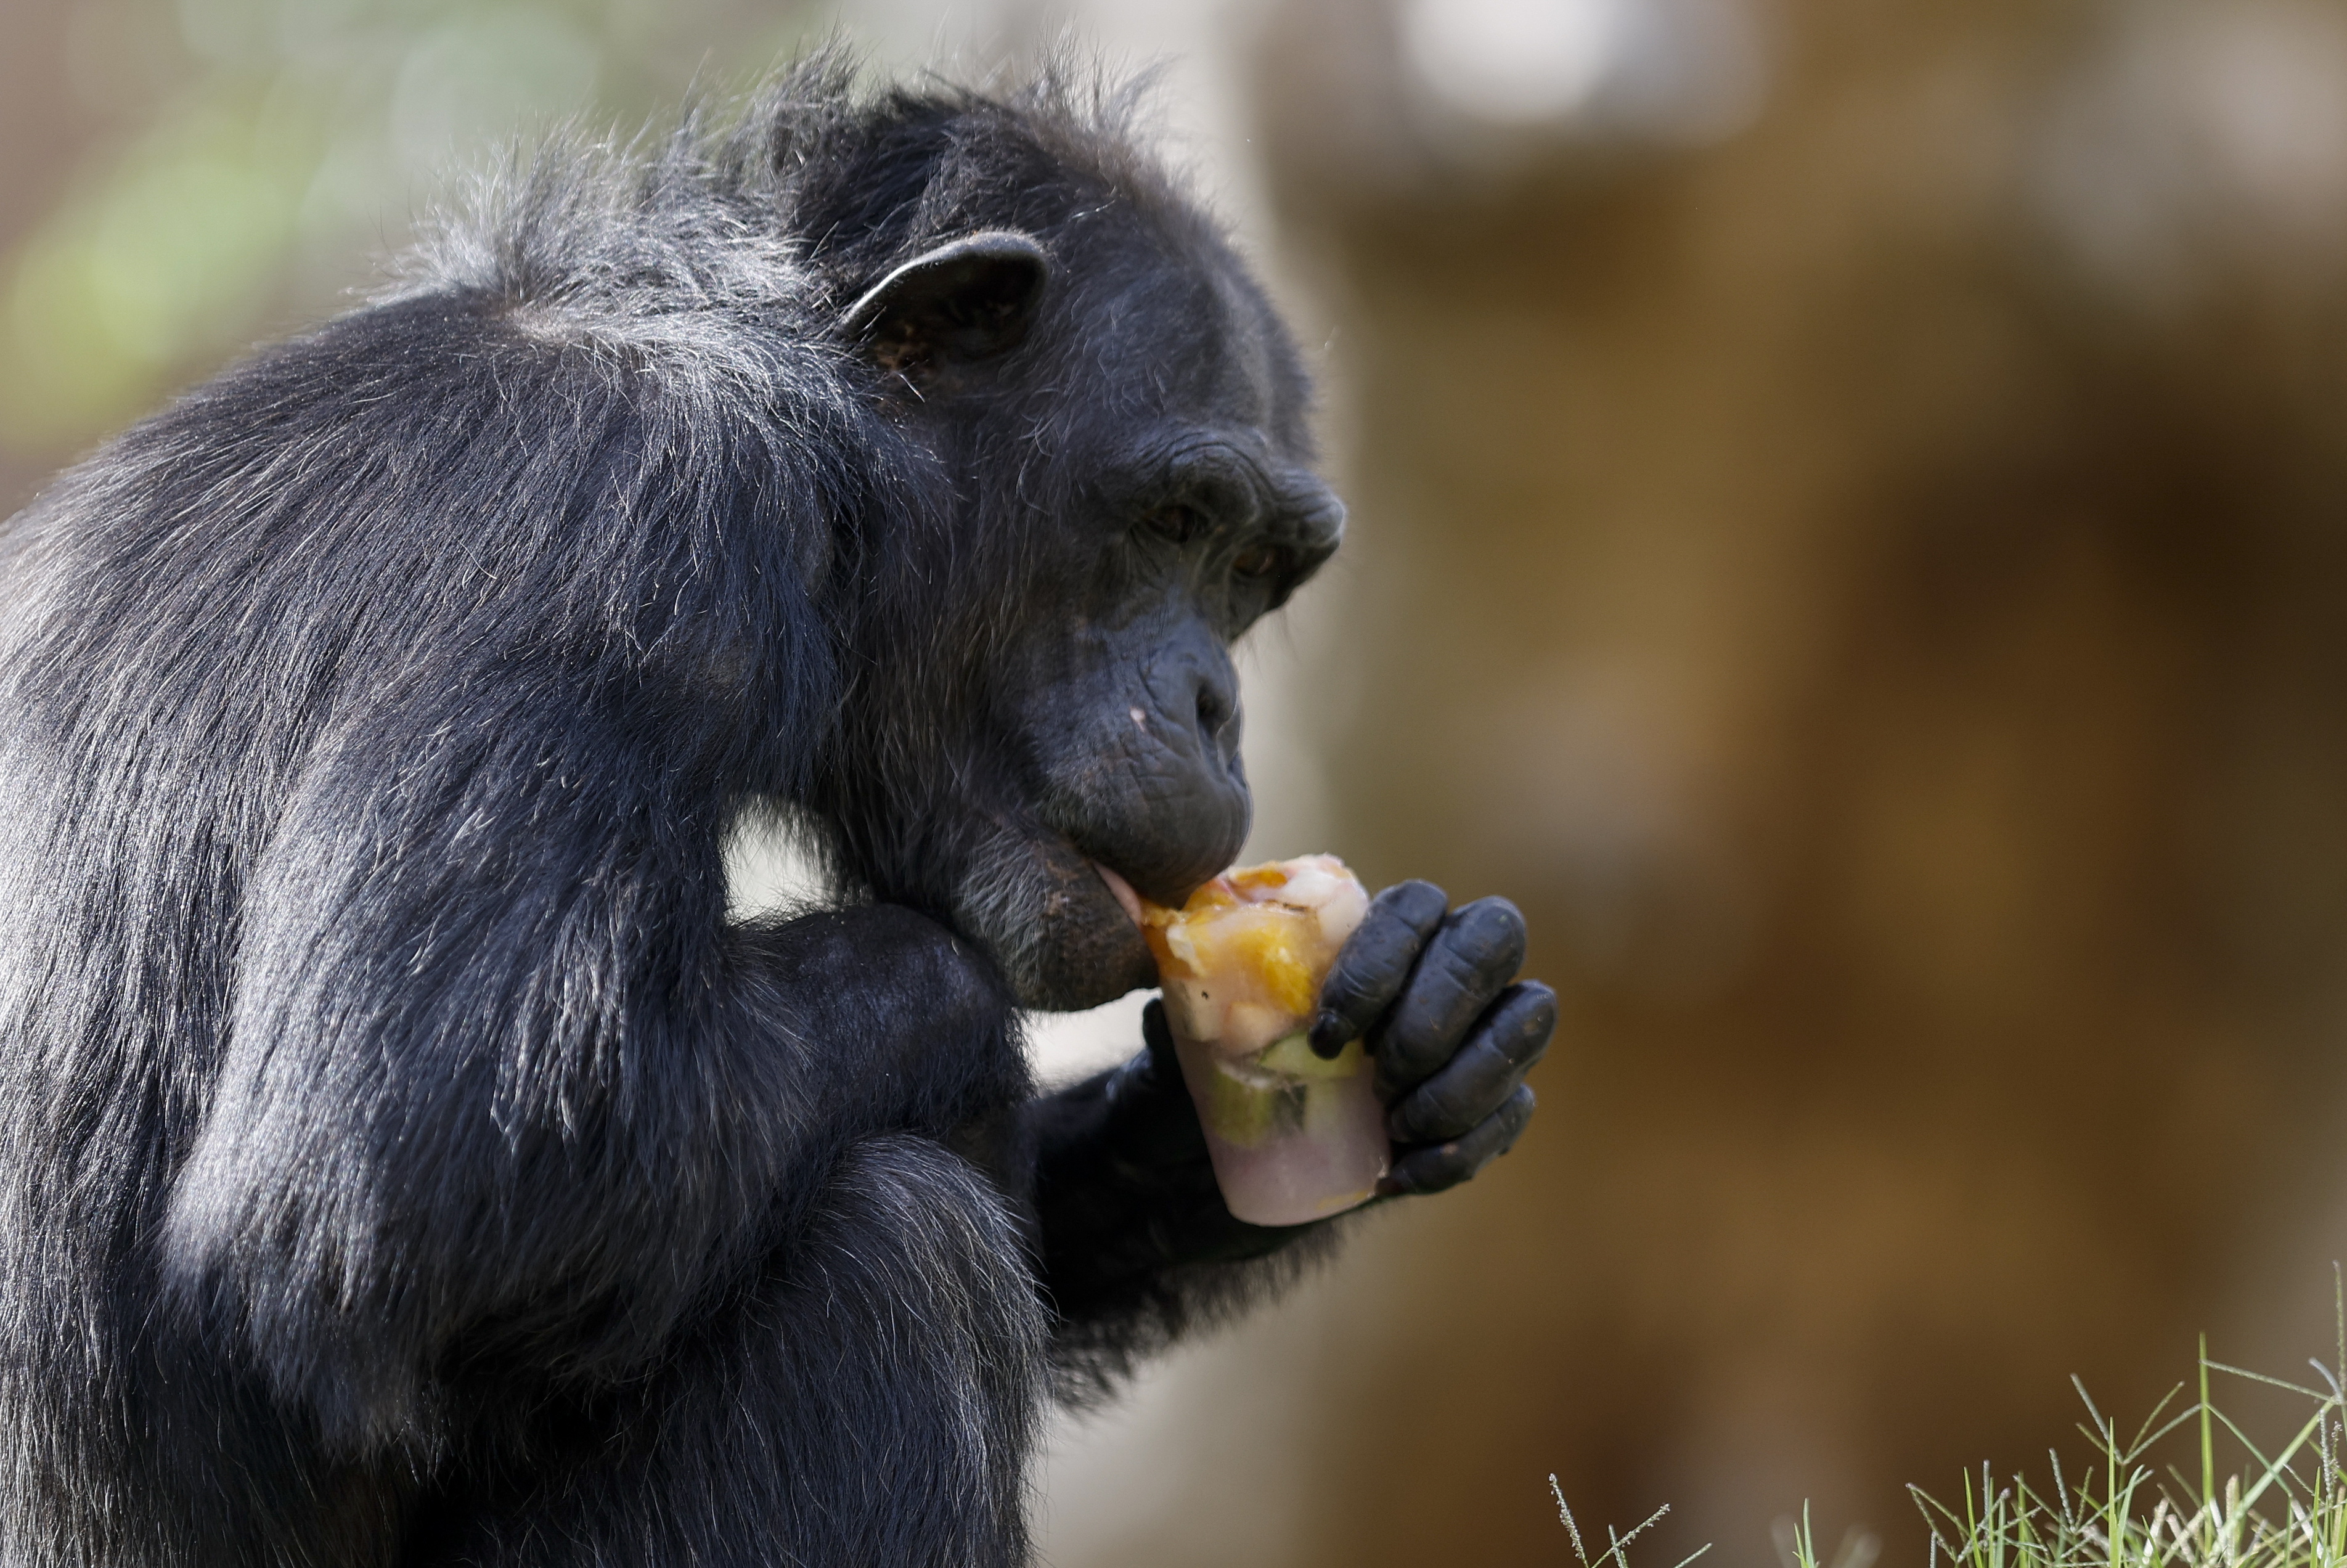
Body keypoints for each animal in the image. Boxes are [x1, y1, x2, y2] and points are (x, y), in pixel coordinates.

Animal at [0, 52, 1558, 1568]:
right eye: (1179, 522)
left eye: (1253, 575)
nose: (1213, 706)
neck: (819, 443)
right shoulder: (640, 511)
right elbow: (410, 1160)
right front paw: (969, 1035)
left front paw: (1406, 1018)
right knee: (901, 1251)